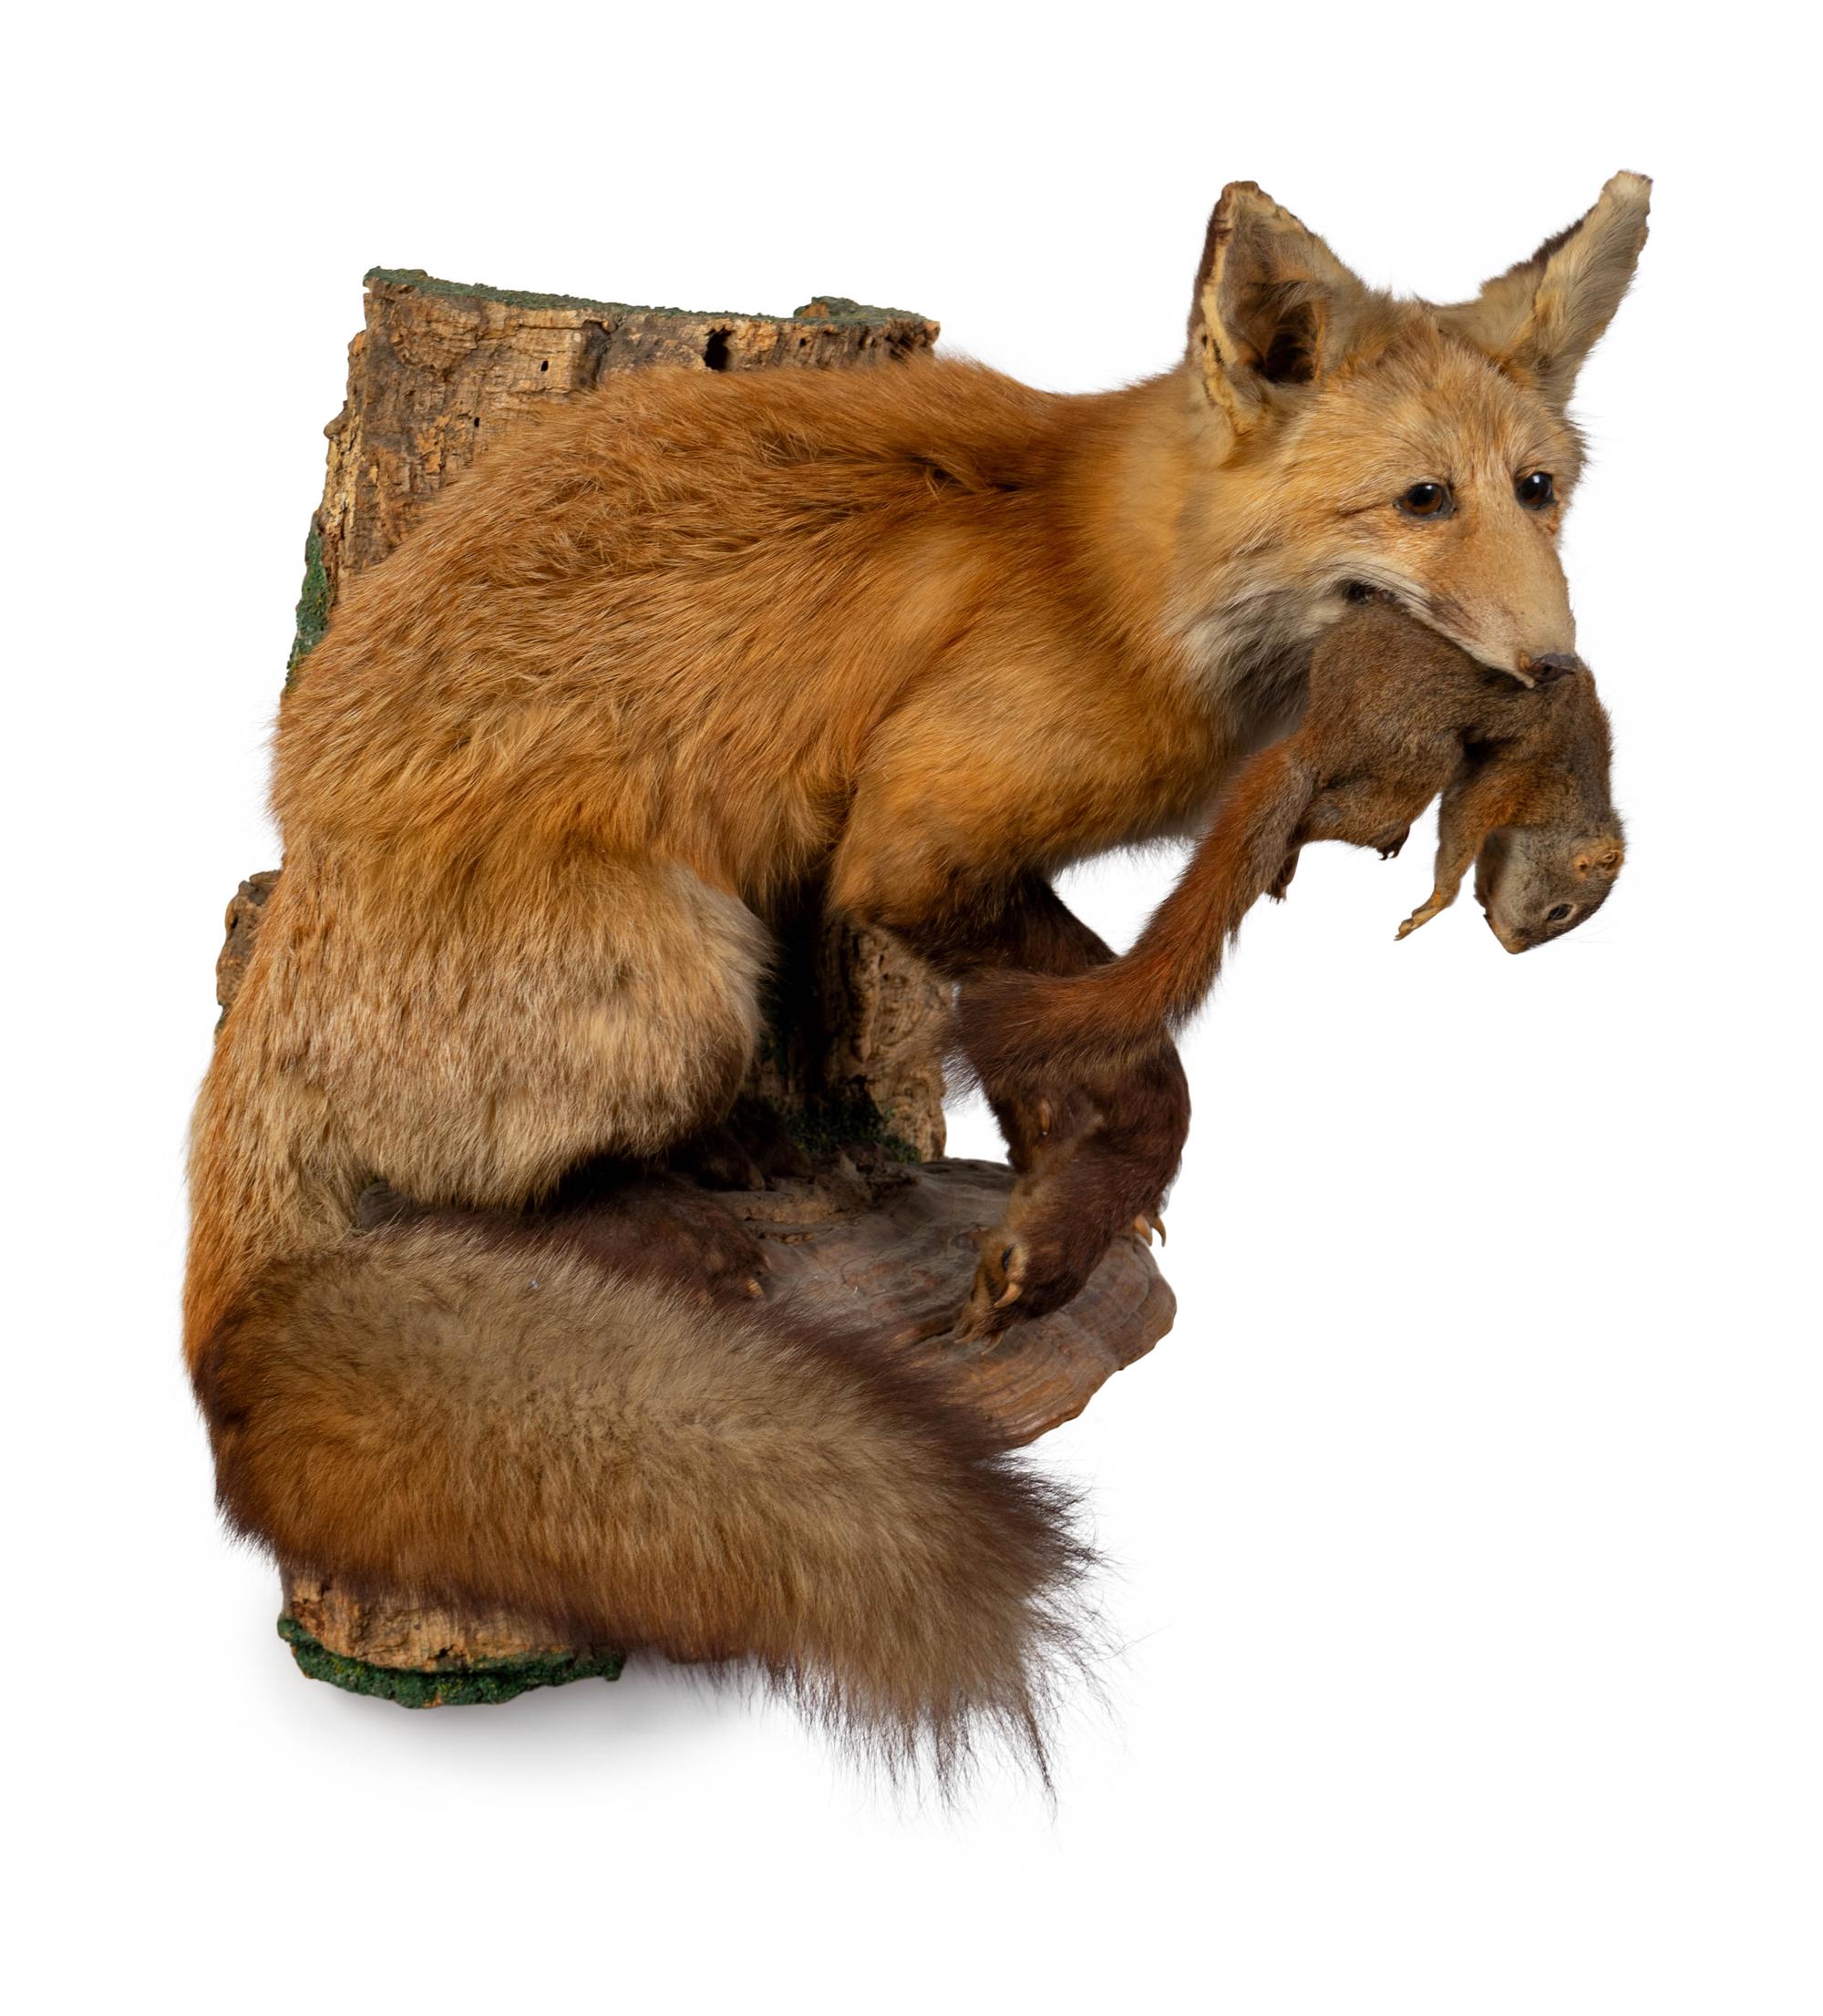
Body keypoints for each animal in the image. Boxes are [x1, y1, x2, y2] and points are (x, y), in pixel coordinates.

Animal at [951, 599, 1623, 1331]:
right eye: (1560, 912)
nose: (1510, 945)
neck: (1575, 779)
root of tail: (1317, 729)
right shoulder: (1512, 776)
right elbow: (1460, 835)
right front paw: (1432, 906)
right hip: (1414, 756)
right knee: (1328, 811)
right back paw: (1307, 848)